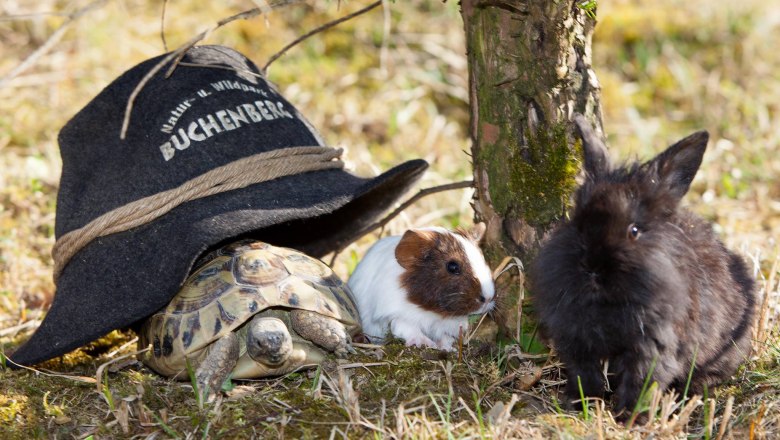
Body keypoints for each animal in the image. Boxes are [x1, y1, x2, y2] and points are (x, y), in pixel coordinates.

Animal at [347, 223, 496, 350]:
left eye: (483, 259)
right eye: (453, 267)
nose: (488, 298)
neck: (430, 312)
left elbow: (445, 338)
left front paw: (447, 349)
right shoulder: (397, 316)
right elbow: (409, 330)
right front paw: (425, 344)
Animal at [530, 114, 756, 417]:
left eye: (634, 231)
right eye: (576, 222)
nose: (593, 269)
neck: (606, 304)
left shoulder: (652, 346)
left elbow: (641, 381)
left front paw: (631, 417)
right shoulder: (577, 342)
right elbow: (585, 376)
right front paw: (581, 406)